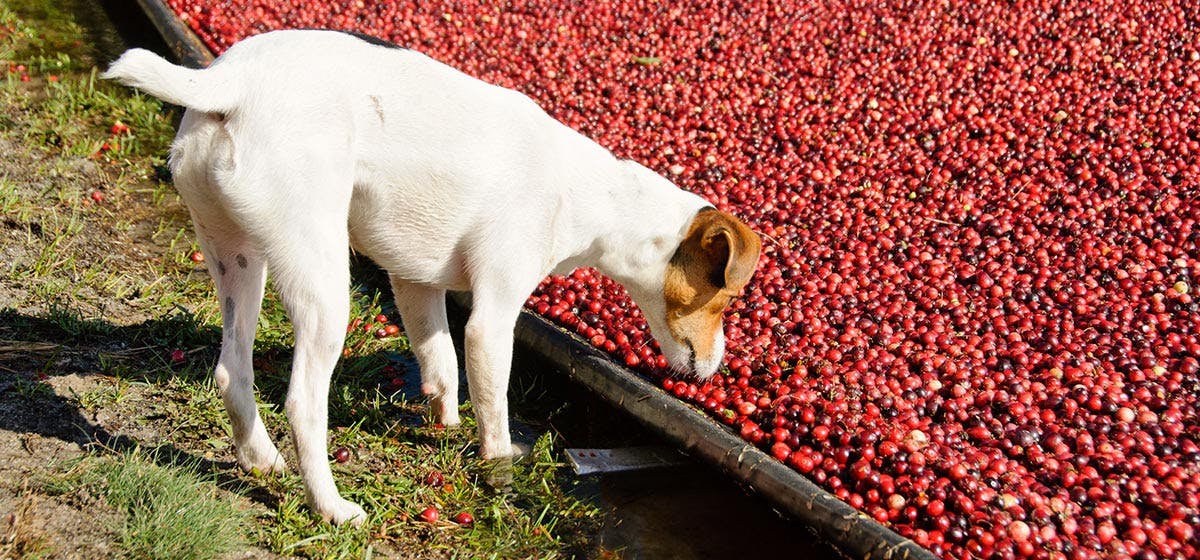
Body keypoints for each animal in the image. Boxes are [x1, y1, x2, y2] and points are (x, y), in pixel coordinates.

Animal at [103, 28, 758, 527]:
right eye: (725, 297)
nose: (719, 365)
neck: (595, 194)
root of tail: (230, 81)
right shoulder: (492, 319)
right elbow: (492, 406)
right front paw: (499, 470)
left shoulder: (415, 282)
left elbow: (440, 363)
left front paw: (442, 426)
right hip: (321, 284)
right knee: (301, 403)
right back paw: (332, 508)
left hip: (238, 262)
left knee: (230, 371)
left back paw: (260, 459)